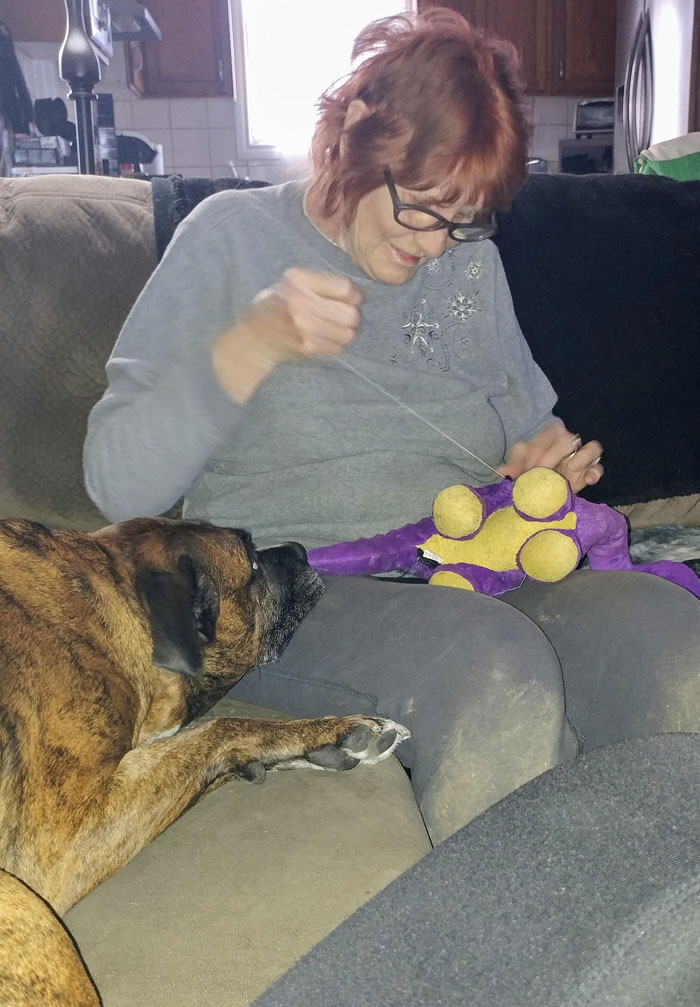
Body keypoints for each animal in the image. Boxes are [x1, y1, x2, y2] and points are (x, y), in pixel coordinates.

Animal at [0, 516, 409, 1005]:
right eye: (252, 562)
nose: (299, 549)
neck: (107, 606)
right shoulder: (61, 843)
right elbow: (224, 726)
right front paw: (330, 730)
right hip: (22, 900)